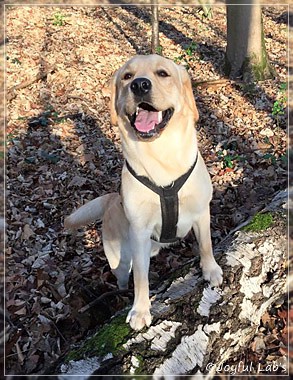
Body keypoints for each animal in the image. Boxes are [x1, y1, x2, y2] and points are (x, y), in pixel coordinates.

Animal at [65, 55, 222, 332]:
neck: (162, 159)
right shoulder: (139, 232)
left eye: (163, 73)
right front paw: (140, 309)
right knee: (124, 278)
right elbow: (141, 277)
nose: (139, 85)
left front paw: (210, 269)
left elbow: (206, 244)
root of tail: (111, 201)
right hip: (119, 259)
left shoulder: (202, 211)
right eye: (127, 76)